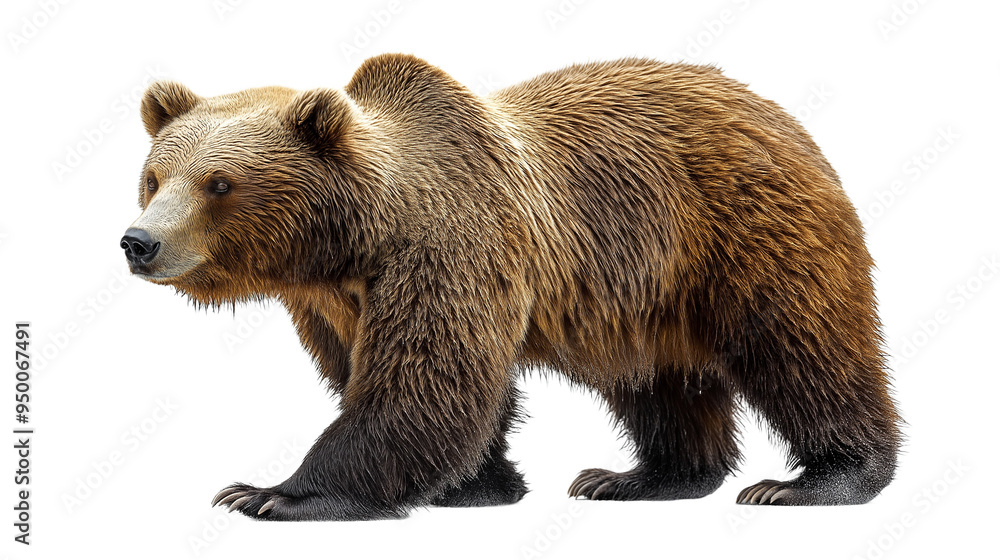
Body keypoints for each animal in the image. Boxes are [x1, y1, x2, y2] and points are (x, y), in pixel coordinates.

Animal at [120, 54, 901, 520]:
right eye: (156, 176)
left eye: (220, 183)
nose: (140, 242)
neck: (353, 243)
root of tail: (780, 113)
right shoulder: (335, 304)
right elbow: (398, 379)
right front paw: (480, 485)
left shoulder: (451, 244)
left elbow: (423, 383)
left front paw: (269, 493)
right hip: (644, 297)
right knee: (658, 381)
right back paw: (639, 477)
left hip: (746, 235)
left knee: (805, 347)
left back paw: (816, 480)